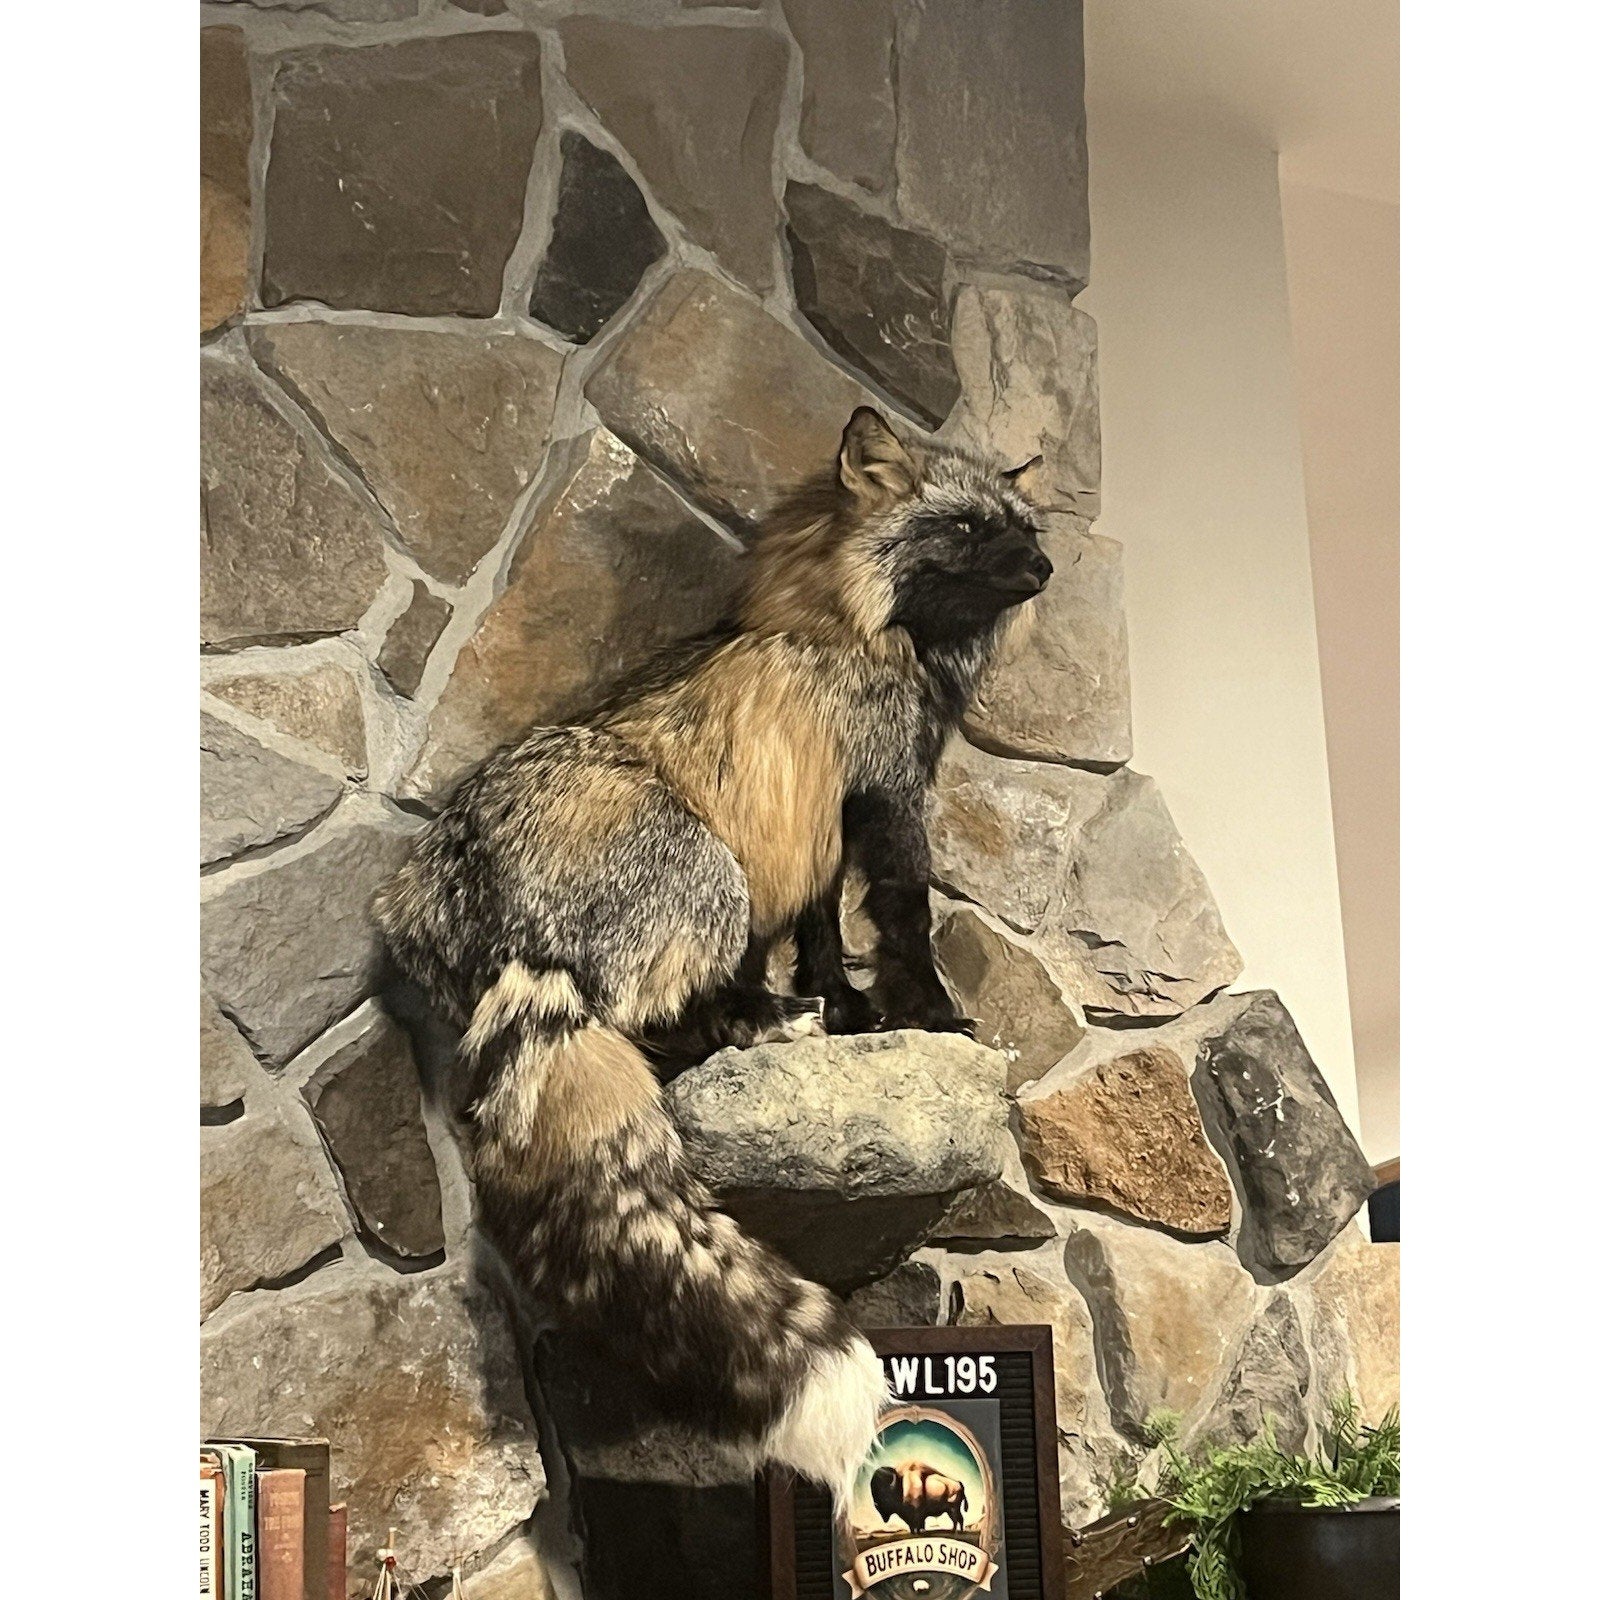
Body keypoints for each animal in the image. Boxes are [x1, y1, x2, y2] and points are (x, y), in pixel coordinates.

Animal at [373, 406, 1052, 1499]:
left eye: (1020, 525)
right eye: (963, 528)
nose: (1044, 565)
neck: (854, 628)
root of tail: (498, 925)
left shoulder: (815, 829)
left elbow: (824, 938)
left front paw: (852, 1013)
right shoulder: (879, 792)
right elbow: (903, 922)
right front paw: (930, 1013)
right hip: (712, 879)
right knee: (659, 1022)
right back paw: (753, 1023)